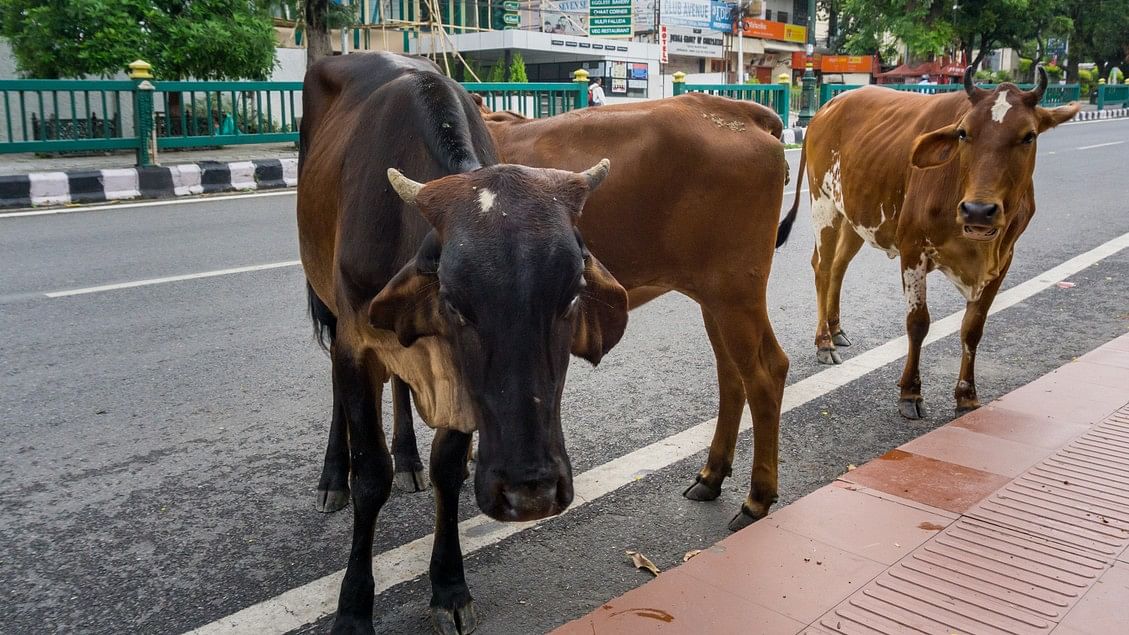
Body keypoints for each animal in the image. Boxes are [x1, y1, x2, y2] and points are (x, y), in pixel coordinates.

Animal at [781, 68, 1079, 420]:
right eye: (963, 133)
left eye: (1029, 136)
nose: (979, 210)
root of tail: (828, 107)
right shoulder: (913, 249)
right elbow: (918, 323)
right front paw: (910, 392)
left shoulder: (1003, 259)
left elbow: (973, 327)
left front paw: (966, 394)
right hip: (823, 204)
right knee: (823, 267)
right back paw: (824, 341)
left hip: (855, 216)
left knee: (839, 267)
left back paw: (837, 329)